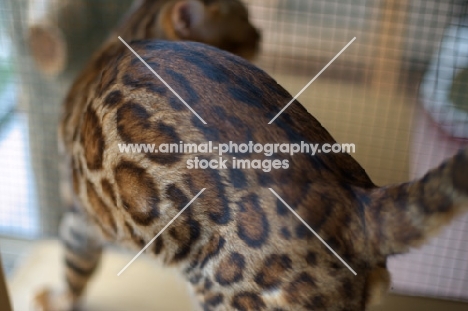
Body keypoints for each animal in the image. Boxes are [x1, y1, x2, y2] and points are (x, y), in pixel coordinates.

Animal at [33, 1, 468, 311]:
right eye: (245, 20)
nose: (260, 32)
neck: (126, 34)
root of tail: (357, 202)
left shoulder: (77, 219)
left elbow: (74, 272)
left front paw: (56, 300)